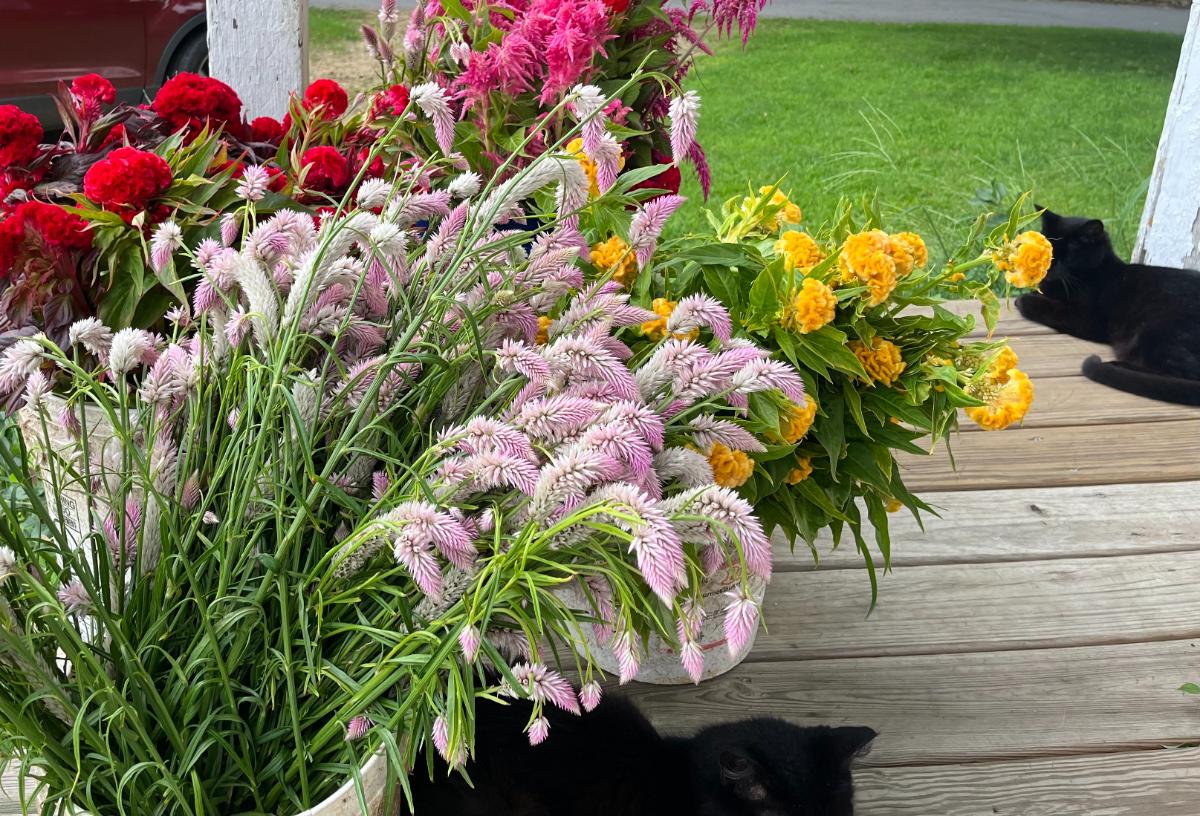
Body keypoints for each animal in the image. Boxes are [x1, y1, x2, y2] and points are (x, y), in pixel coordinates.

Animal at [1012, 207, 1200, 405]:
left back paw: (1116, 366)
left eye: (1067, 256)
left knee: (1183, 373)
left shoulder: (1087, 319)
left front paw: (1023, 299)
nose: (1048, 265)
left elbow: (1047, 307)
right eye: (1047, 250)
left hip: (1153, 331)